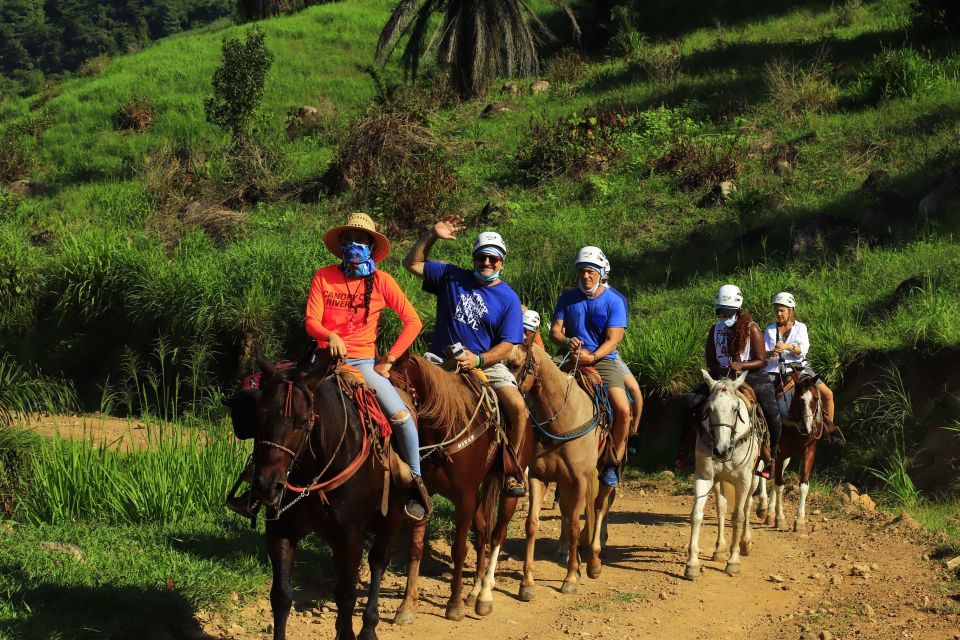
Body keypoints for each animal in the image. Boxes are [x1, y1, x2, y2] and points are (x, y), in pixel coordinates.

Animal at [249, 356, 404, 640]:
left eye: (302, 421)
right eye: (259, 416)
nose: (267, 487)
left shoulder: (350, 536)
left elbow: (346, 596)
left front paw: (350, 631)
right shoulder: (280, 531)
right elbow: (281, 596)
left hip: (392, 519)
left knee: (378, 562)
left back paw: (369, 626)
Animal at [388, 352, 532, 624]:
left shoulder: (464, 498)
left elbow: (459, 549)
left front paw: (454, 605)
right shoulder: (425, 497)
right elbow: (416, 548)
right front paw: (406, 606)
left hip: (508, 487)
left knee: (497, 533)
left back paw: (485, 595)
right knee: (483, 533)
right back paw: (474, 592)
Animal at [506, 342, 612, 596]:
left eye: (514, 364)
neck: (562, 418)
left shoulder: (580, 480)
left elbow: (575, 525)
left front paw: (571, 577)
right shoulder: (538, 477)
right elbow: (532, 524)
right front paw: (527, 582)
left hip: (604, 472)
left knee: (599, 506)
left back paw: (593, 562)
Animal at [688, 370, 760, 580]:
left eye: (735, 409)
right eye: (709, 409)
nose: (721, 450)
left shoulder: (743, 480)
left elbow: (738, 517)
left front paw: (733, 561)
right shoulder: (704, 476)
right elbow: (697, 515)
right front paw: (692, 563)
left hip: (755, 478)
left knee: (748, 506)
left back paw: (745, 543)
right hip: (719, 480)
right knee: (721, 508)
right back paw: (719, 550)